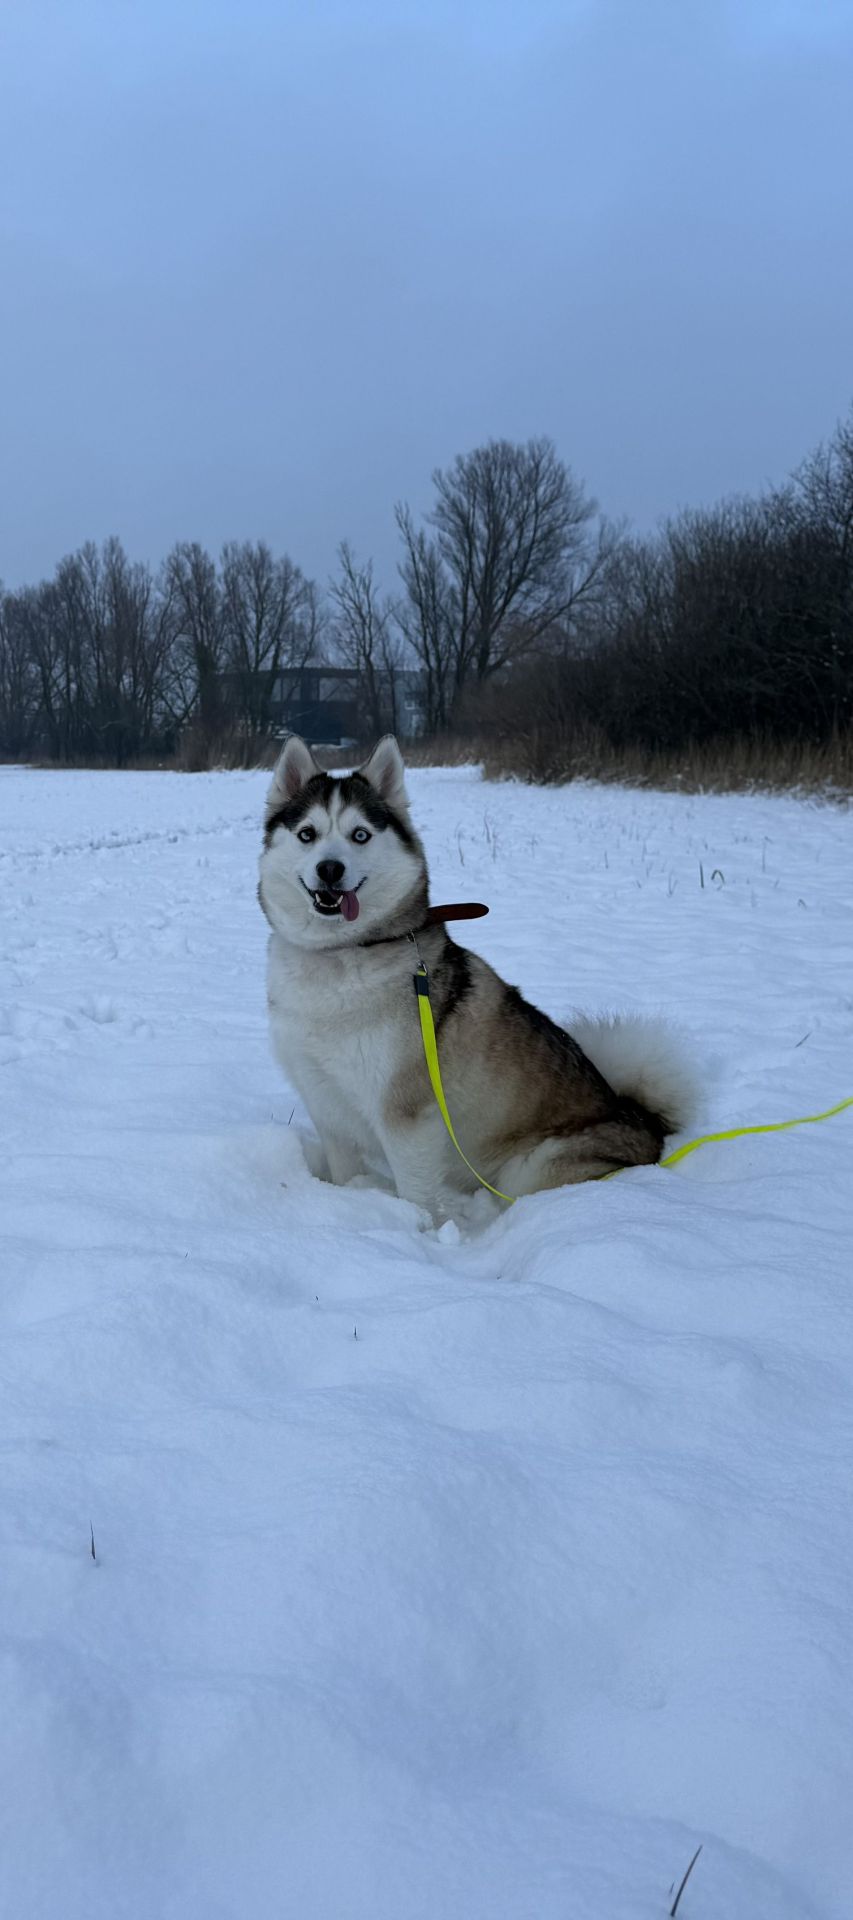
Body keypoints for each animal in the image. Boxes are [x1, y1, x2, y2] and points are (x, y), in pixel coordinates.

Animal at [258, 734, 694, 1215]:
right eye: (307, 834)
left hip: (532, 1168)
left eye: (360, 835)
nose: (330, 869)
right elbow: (343, 1171)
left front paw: (418, 1227)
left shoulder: (406, 1114)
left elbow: (417, 1193)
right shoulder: (326, 1102)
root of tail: (645, 1122)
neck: (340, 953)